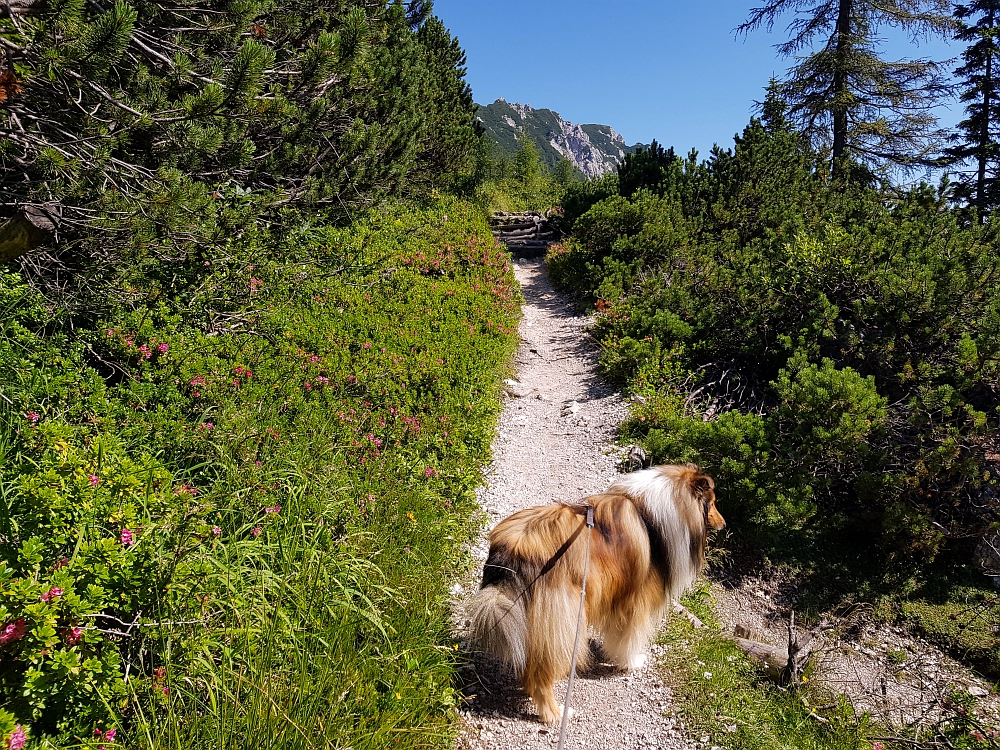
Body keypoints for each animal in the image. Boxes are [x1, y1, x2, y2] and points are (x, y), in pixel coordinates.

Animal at [468, 468, 728, 724]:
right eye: (714, 502)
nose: (724, 524)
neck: (652, 516)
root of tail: (513, 550)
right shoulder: (637, 600)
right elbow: (630, 636)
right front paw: (632, 662)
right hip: (565, 617)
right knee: (542, 674)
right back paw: (554, 714)